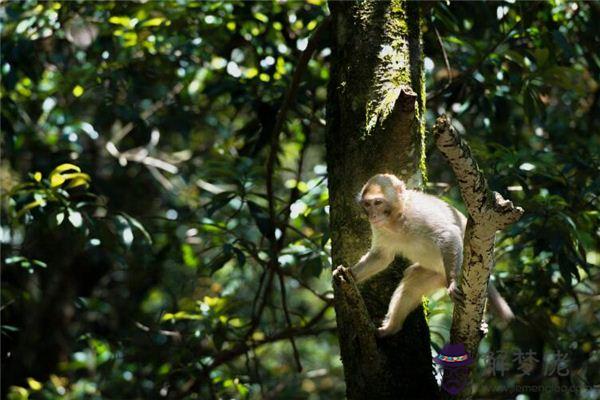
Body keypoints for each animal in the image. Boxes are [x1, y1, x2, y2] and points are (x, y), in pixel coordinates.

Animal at [352, 173, 516, 336]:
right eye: (367, 204)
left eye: (378, 202)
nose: (372, 215)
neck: (398, 218)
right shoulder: (379, 228)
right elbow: (381, 257)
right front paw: (349, 274)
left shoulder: (419, 213)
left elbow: (448, 235)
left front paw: (453, 282)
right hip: (435, 274)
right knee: (411, 285)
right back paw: (391, 328)